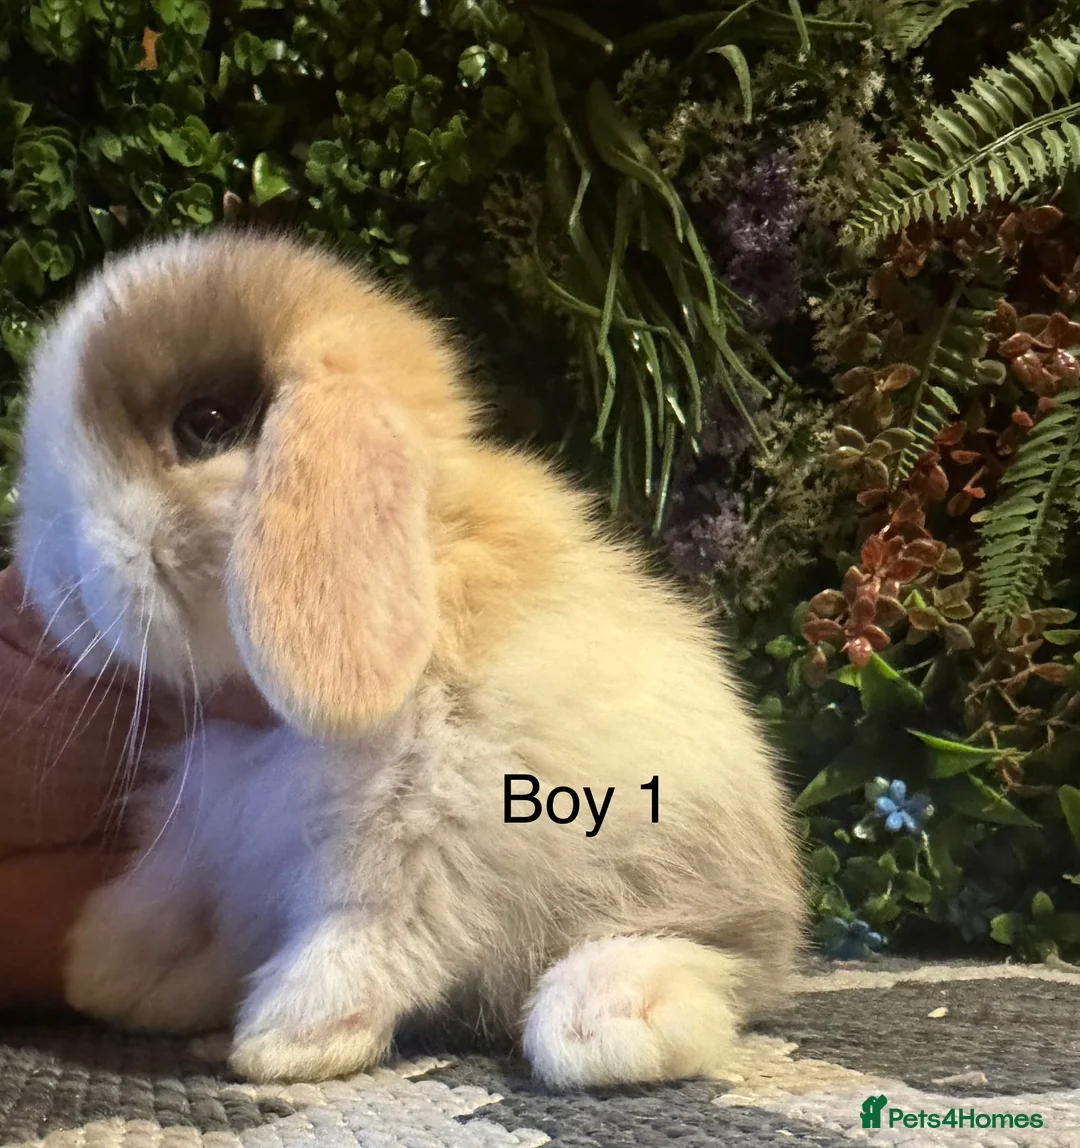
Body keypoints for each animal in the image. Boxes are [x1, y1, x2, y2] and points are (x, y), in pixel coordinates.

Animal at [14, 230, 805, 1088]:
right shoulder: (211, 831)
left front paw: (286, 1041)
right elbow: (171, 897)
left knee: (710, 964)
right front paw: (108, 967)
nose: (50, 582)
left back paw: (605, 1020)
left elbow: (365, 941)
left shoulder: (413, 849)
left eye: (206, 422)